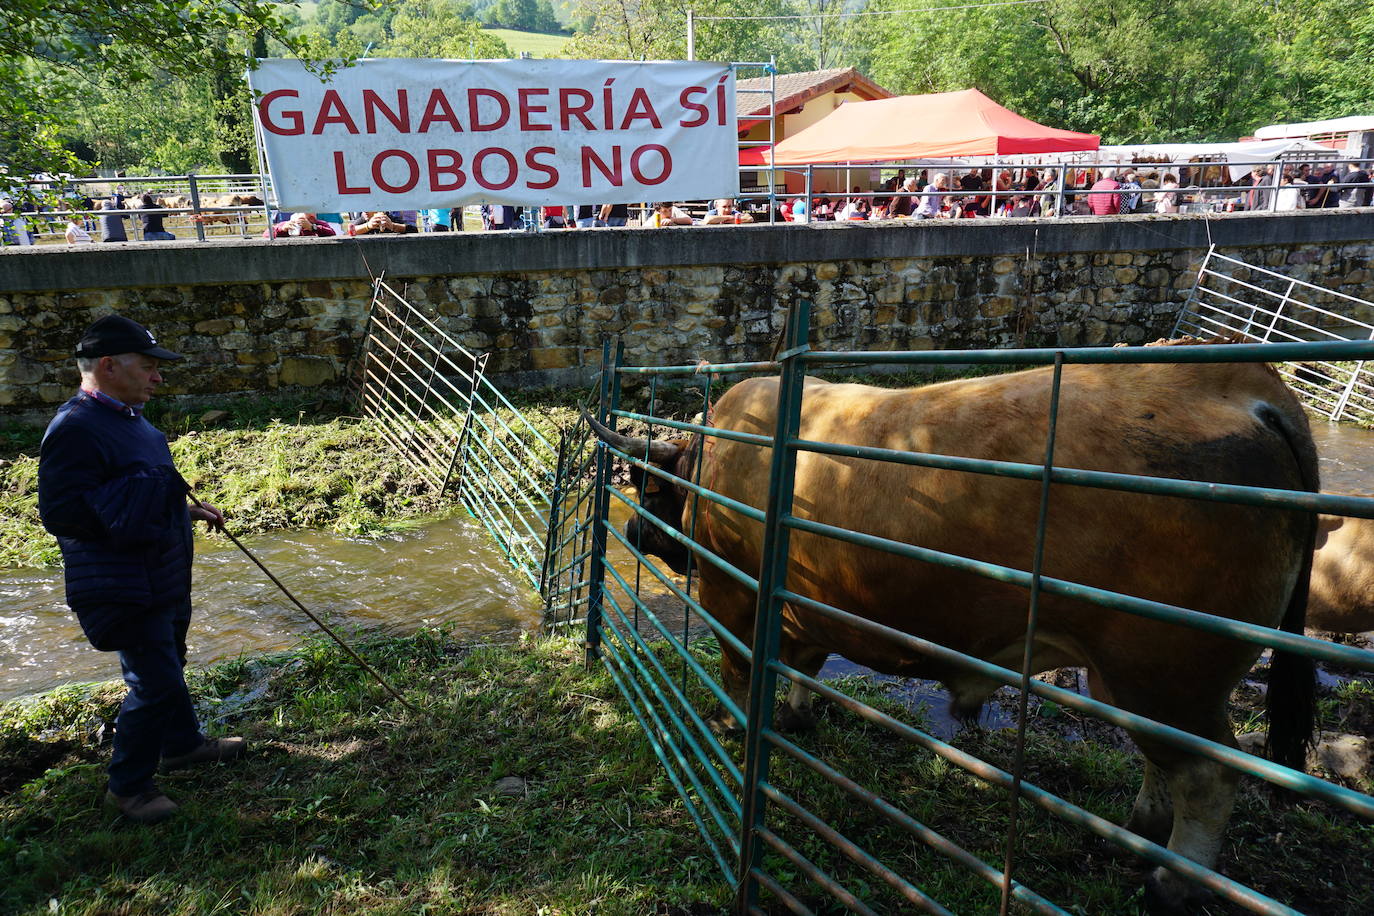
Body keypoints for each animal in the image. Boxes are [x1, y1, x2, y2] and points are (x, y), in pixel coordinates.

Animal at [590, 348, 1319, 911]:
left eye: (648, 490)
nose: (635, 534)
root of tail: (1247, 384)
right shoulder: (813, 604)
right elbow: (803, 663)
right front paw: (796, 714)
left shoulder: (736, 595)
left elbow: (744, 672)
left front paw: (738, 725)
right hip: (1143, 679)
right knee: (1166, 761)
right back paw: (1141, 830)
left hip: (1162, 670)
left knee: (1208, 773)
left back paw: (1172, 881)